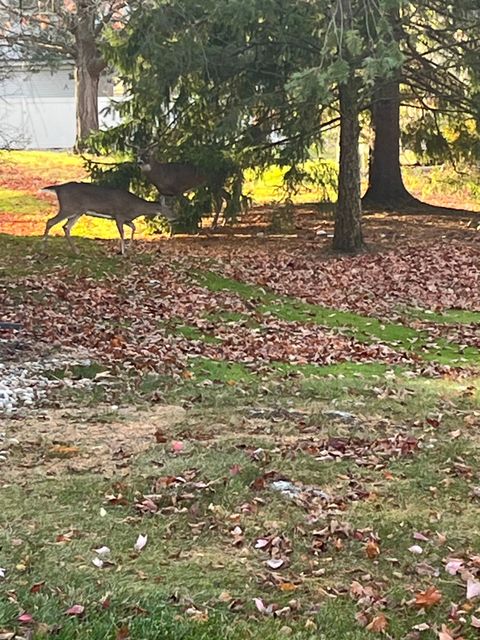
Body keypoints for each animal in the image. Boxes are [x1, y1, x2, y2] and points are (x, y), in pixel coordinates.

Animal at [41, 181, 176, 254]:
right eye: (169, 208)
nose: (175, 217)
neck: (135, 207)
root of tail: (58, 188)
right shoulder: (118, 215)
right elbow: (122, 233)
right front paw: (123, 251)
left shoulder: (126, 219)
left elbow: (133, 227)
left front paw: (129, 248)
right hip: (68, 207)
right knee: (50, 221)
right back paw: (44, 246)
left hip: (78, 211)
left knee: (66, 227)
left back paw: (76, 251)